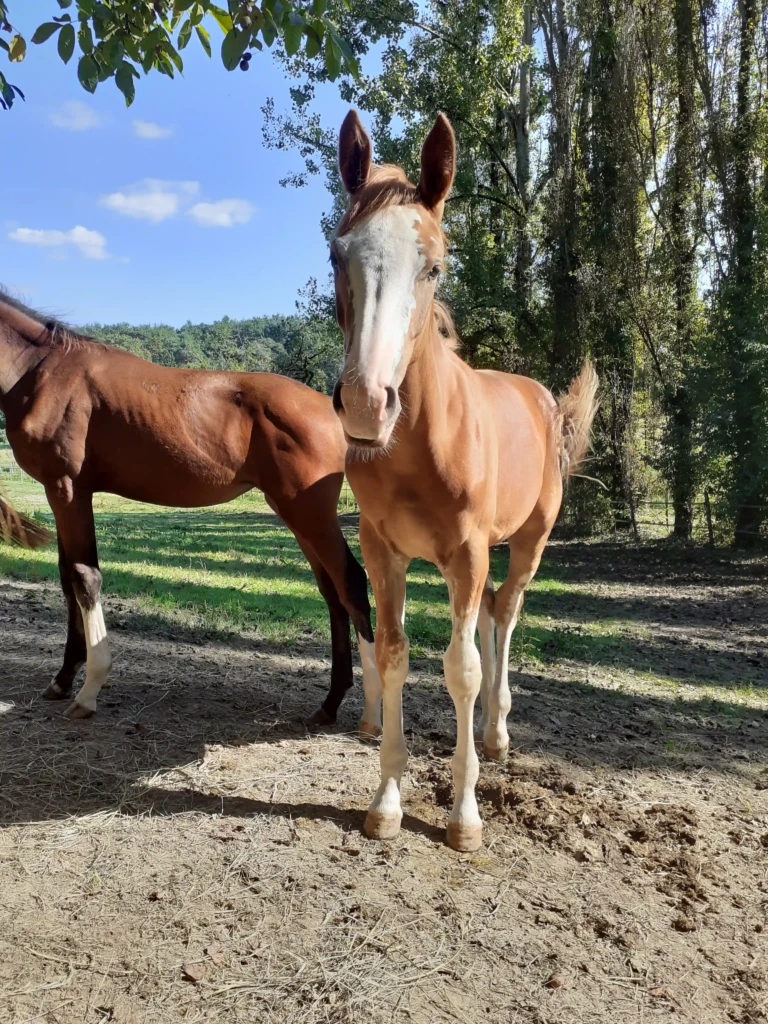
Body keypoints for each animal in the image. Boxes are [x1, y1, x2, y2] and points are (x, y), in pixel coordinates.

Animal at [0, 290, 380, 728]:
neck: (41, 370)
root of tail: (330, 410)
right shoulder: (67, 492)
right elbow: (68, 579)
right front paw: (63, 679)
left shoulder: (66, 489)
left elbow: (84, 579)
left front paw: (89, 689)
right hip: (300, 519)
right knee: (332, 593)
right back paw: (330, 703)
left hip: (310, 516)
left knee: (352, 583)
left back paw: (372, 717)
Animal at [329, 110, 599, 852]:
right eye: (338, 254)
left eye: (435, 265)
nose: (366, 405)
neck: (421, 444)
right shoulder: (384, 551)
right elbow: (395, 653)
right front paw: (387, 802)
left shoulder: (469, 551)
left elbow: (462, 669)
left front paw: (465, 814)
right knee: (485, 618)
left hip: (526, 543)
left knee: (503, 616)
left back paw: (497, 733)